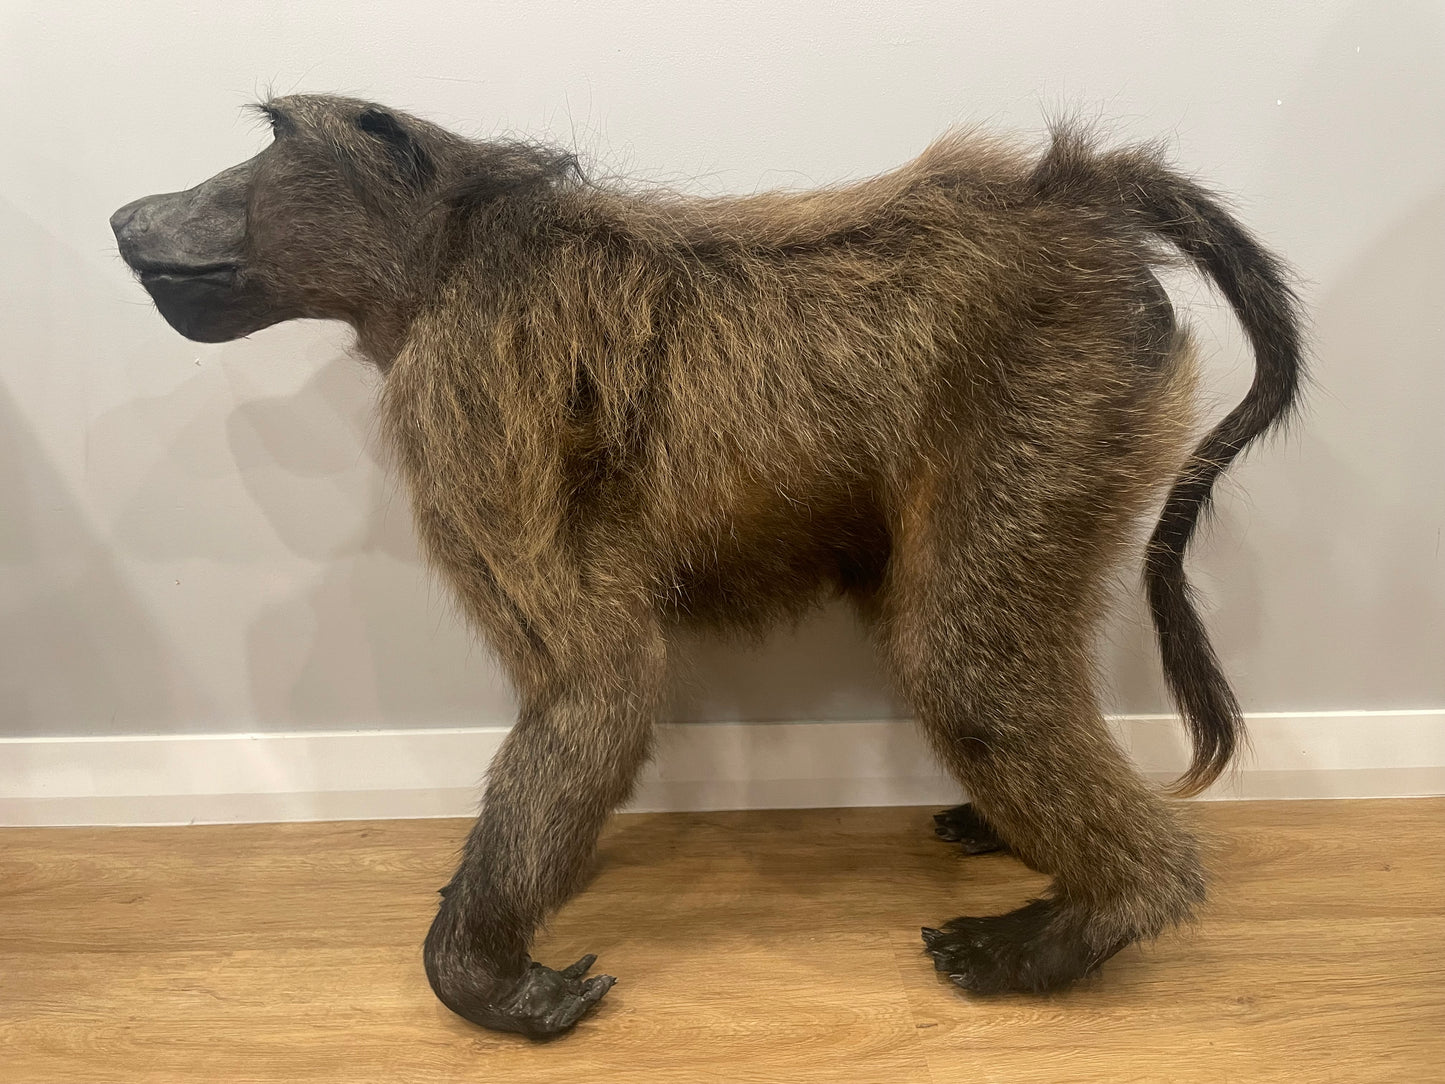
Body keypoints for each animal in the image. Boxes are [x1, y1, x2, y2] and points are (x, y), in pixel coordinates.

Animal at [111, 94, 1303, 1040]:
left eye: (267, 142)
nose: (126, 217)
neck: (453, 244)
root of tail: (1065, 199)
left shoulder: (465, 387)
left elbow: (596, 679)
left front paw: (482, 977)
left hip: (1058, 387)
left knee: (968, 673)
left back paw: (1091, 919)